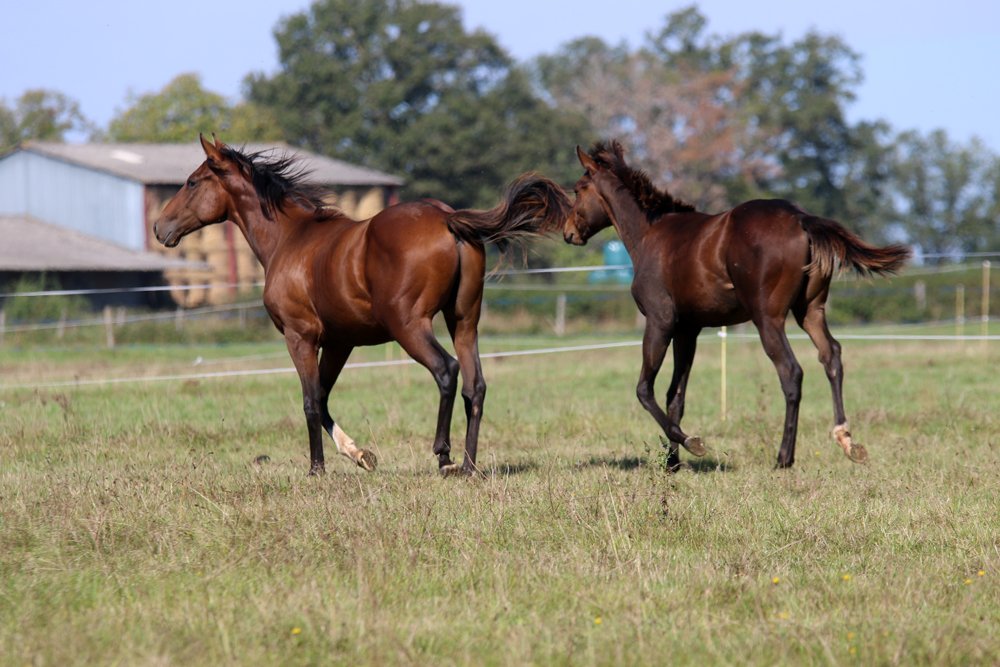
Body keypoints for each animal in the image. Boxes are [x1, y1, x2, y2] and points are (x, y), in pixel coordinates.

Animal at [154, 134, 570, 476]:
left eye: (192, 182)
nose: (160, 228)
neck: (289, 240)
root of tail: (448, 218)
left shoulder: (299, 336)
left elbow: (310, 401)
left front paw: (317, 469)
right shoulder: (341, 342)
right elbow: (323, 397)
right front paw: (361, 455)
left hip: (409, 325)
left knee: (446, 371)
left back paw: (444, 455)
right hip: (464, 321)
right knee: (475, 385)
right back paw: (468, 466)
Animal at [563, 140, 910, 470]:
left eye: (578, 189)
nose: (568, 233)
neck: (650, 233)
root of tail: (800, 218)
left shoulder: (659, 322)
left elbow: (644, 390)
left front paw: (691, 444)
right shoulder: (688, 330)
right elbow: (676, 396)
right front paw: (673, 463)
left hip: (768, 318)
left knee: (791, 372)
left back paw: (784, 457)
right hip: (810, 311)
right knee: (831, 356)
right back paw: (848, 441)